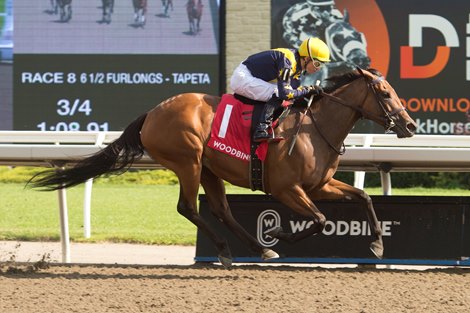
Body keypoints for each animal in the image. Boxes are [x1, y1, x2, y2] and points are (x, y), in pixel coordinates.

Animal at [28, 67, 414, 266]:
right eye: (384, 92)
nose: (409, 125)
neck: (313, 127)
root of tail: (152, 112)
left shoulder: (319, 185)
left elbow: (364, 197)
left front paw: (377, 246)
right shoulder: (287, 189)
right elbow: (318, 220)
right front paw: (279, 232)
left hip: (209, 169)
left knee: (221, 209)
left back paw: (256, 249)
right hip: (188, 160)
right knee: (188, 207)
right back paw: (239, 249)